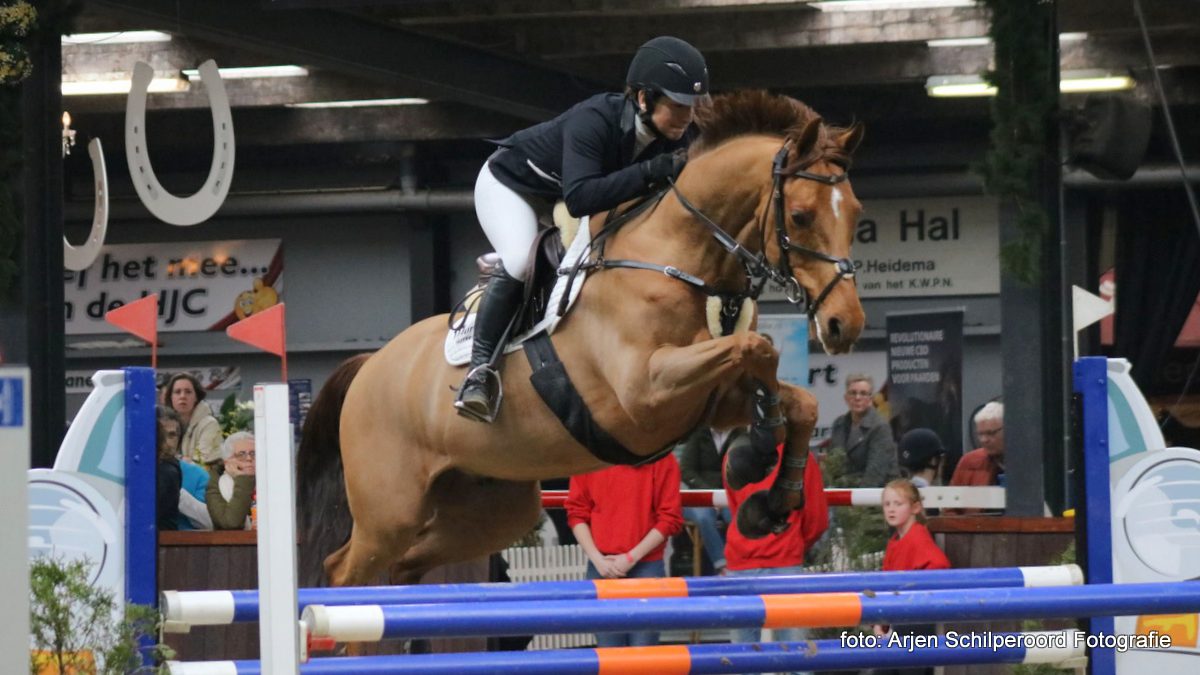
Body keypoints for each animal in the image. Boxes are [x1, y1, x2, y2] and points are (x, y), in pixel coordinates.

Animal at [297, 90, 864, 588]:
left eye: (856, 213)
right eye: (800, 217)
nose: (847, 325)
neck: (678, 260)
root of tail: (368, 365)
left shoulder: (708, 398)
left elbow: (800, 399)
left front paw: (772, 493)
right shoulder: (646, 394)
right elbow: (758, 348)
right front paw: (758, 451)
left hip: (490, 508)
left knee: (406, 568)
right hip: (389, 510)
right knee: (343, 572)